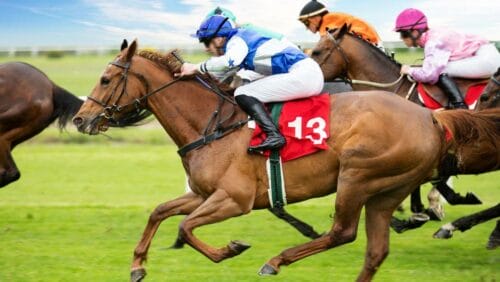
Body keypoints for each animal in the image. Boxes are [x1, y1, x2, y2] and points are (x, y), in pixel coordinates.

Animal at [72, 40, 498, 282]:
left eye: (106, 79)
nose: (80, 119)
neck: (213, 124)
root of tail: (431, 117)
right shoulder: (204, 194)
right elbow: (160, 213)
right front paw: (137, 265)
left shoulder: (234, 199)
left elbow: (186, 228)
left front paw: (230, 249)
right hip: (385, 190)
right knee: (374, 250)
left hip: (358, 177)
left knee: (343, 232)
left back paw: (275, 261)